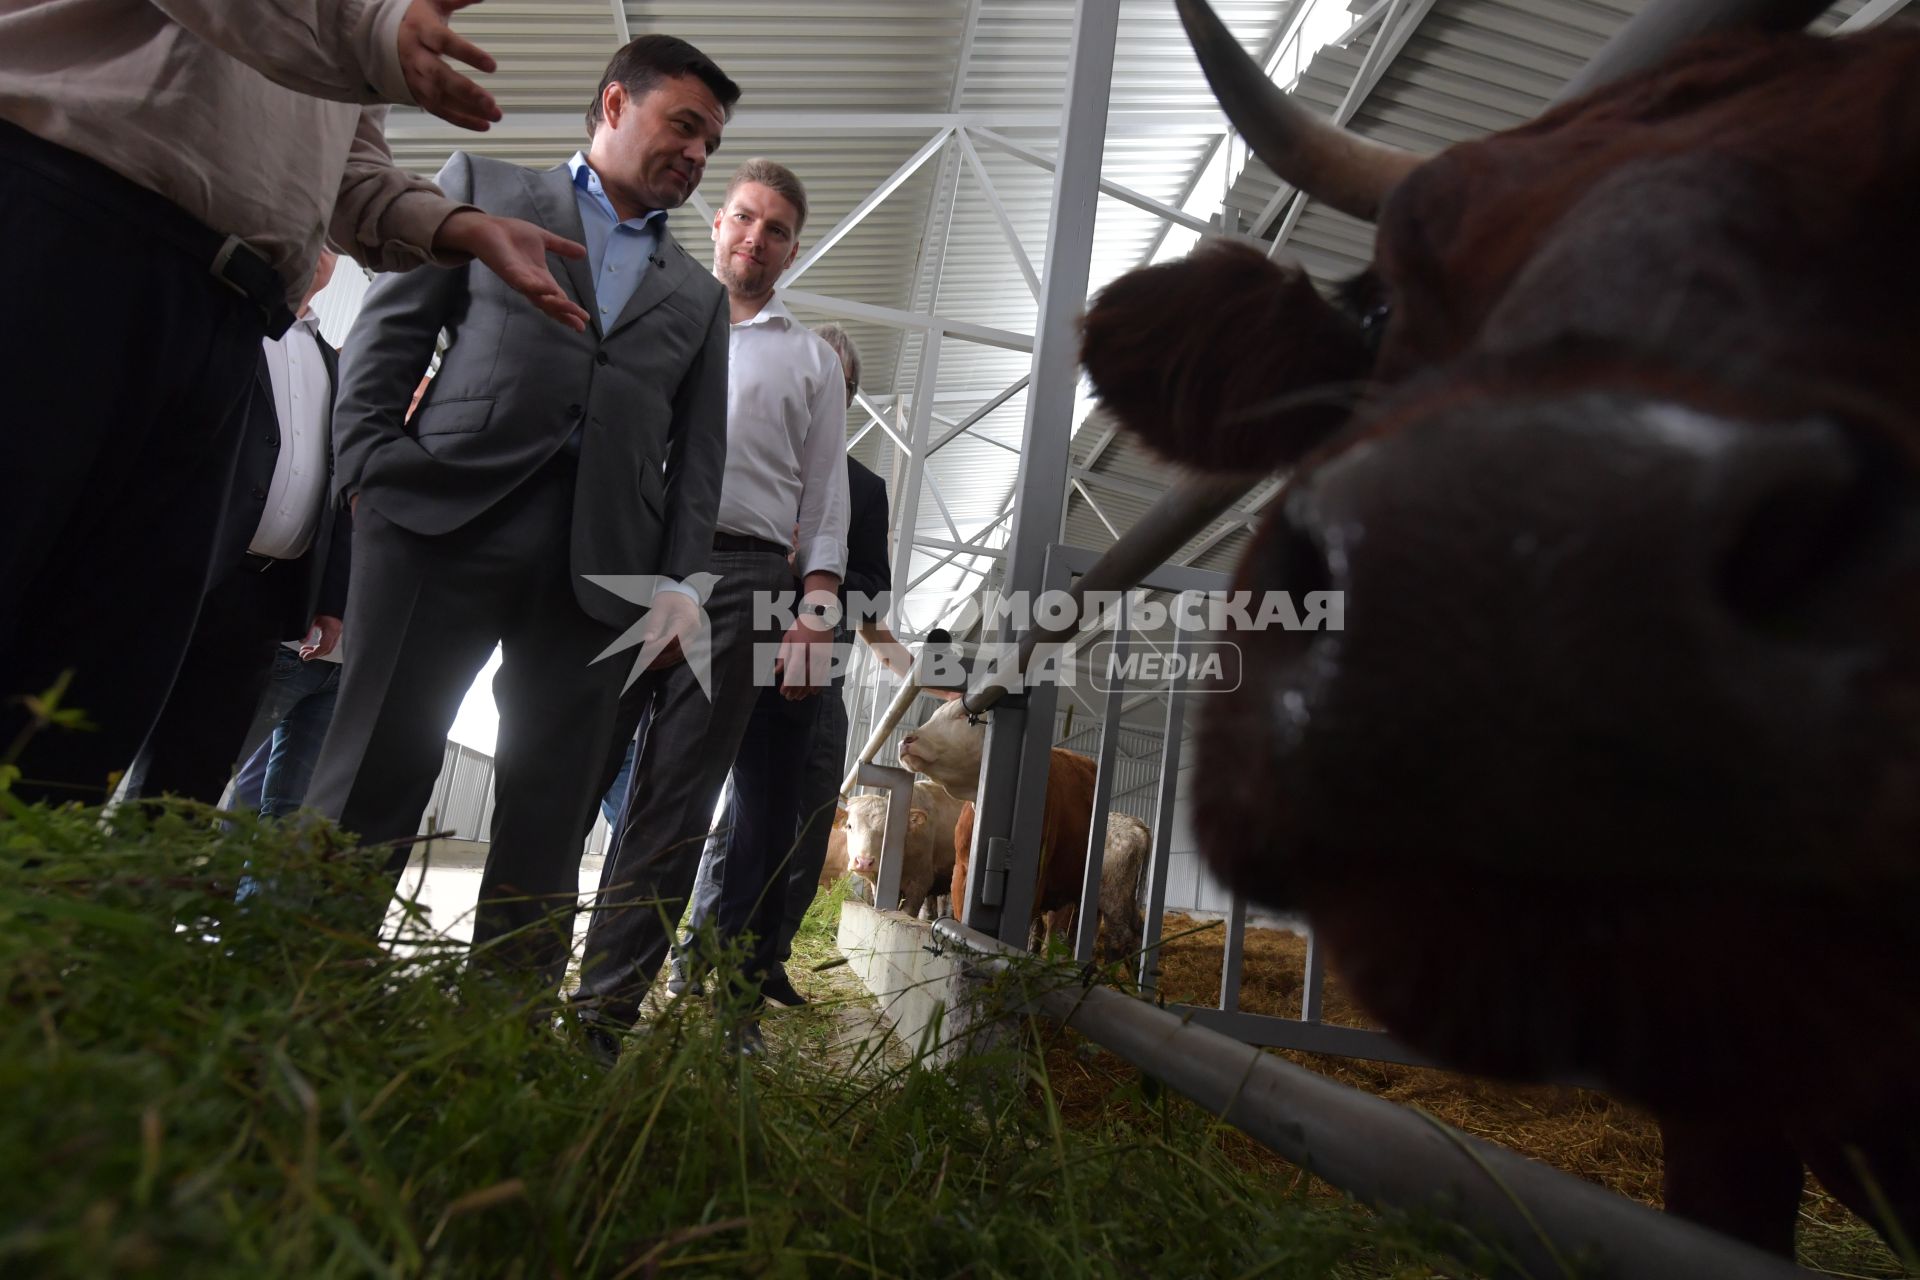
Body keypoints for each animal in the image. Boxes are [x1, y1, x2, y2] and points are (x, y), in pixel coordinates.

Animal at [894, 702, 1144, 959]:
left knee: (1115, 935)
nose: (906, 740)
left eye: (965, 714)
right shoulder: (960, 873)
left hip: (1107, 895)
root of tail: (1137, 826)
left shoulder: (1033, 881)